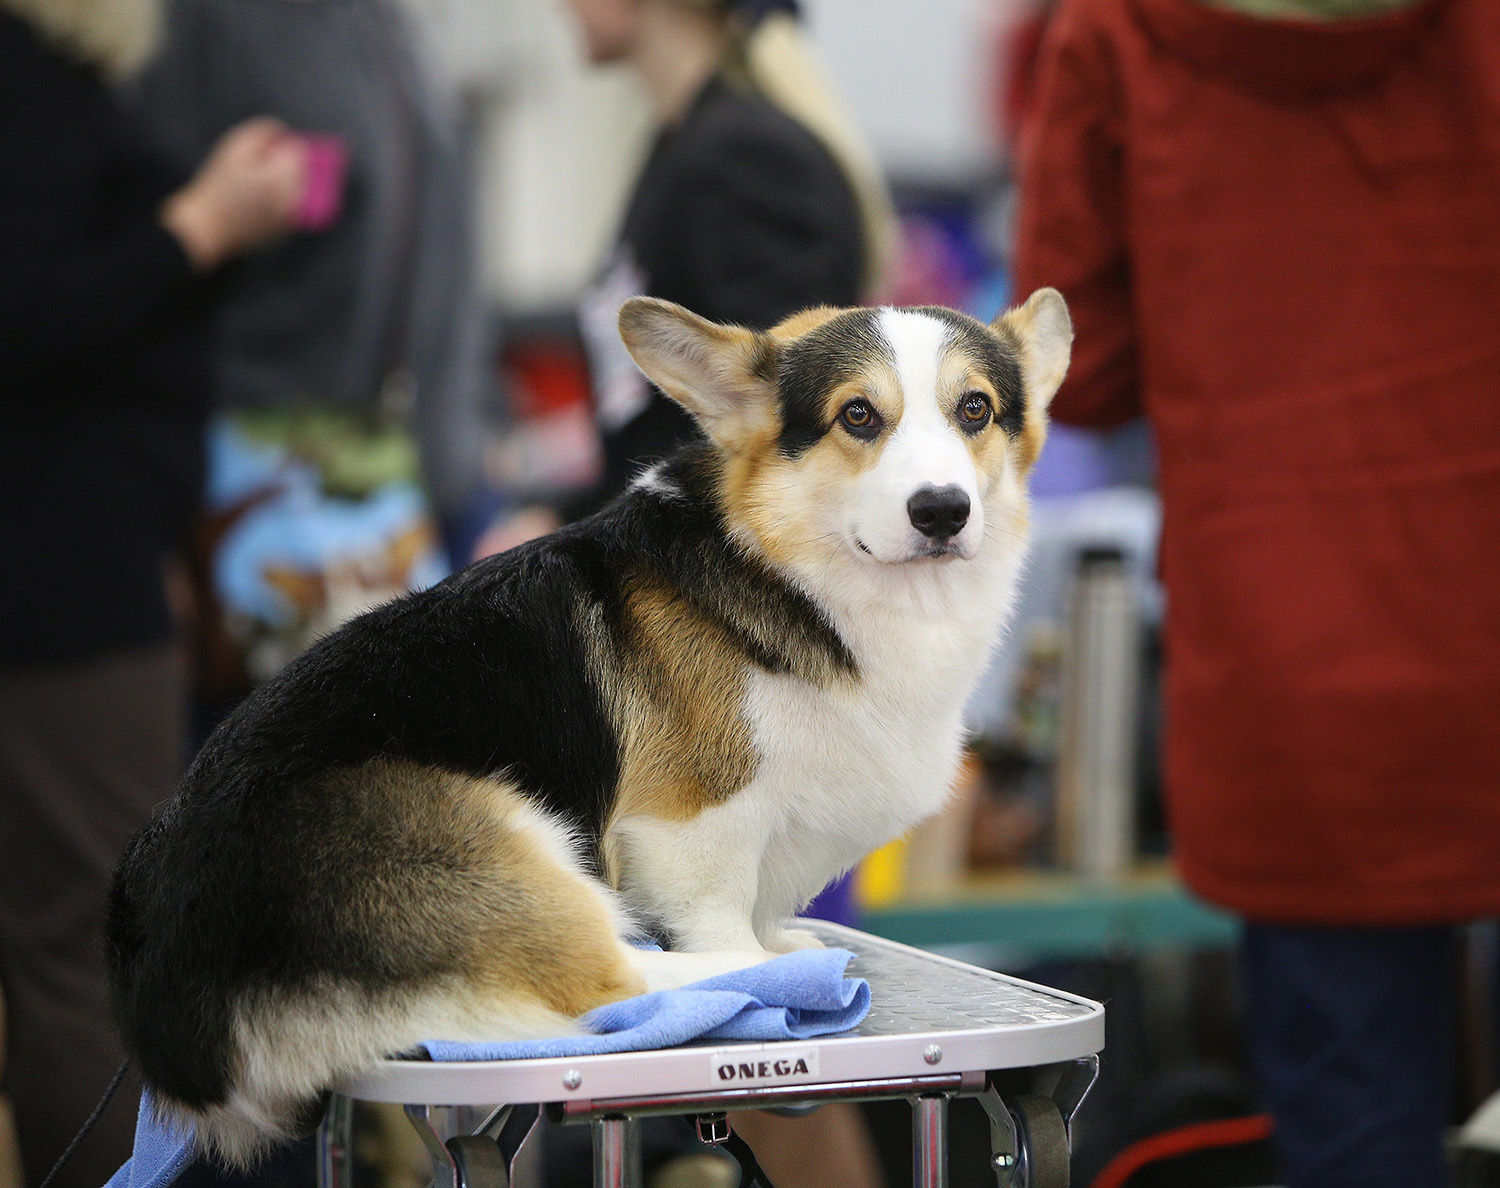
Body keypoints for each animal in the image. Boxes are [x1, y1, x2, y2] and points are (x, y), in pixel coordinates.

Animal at [102, 289, 1068, 1170]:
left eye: (975, 409)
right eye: (857, 416)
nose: (942, 511)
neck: (792, 571)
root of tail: (171, 990)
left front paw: (780, 935)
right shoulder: (693, 826)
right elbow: (716, 910)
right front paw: (760, 957)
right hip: (504, 833)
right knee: (616, 978)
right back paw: (771, 979)